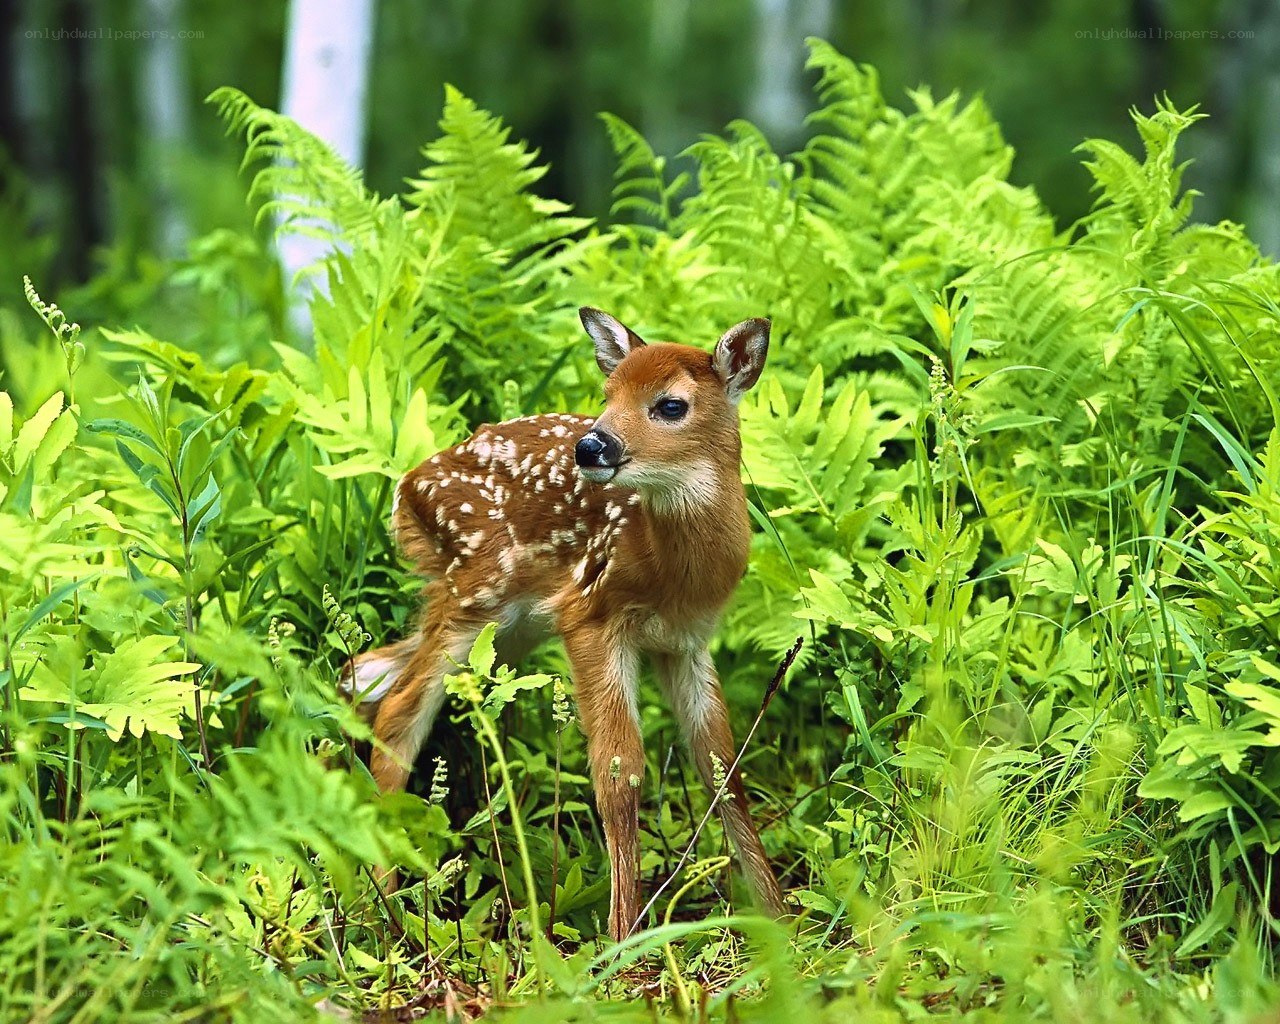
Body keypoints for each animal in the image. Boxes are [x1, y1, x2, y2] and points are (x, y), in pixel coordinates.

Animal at [343, 307, 787, 941]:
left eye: (670, 405)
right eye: (608, 394)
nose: (592, 445)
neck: (669, 571)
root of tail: (405, 489)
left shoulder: (686, 641)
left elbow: (722, 766)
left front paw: (780, 917)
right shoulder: (591, 616)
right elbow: (619, 773)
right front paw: (624, 936)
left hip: (508, 625)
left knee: (367, 671)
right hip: (475, 590)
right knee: (401, 707)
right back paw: (383, 904)